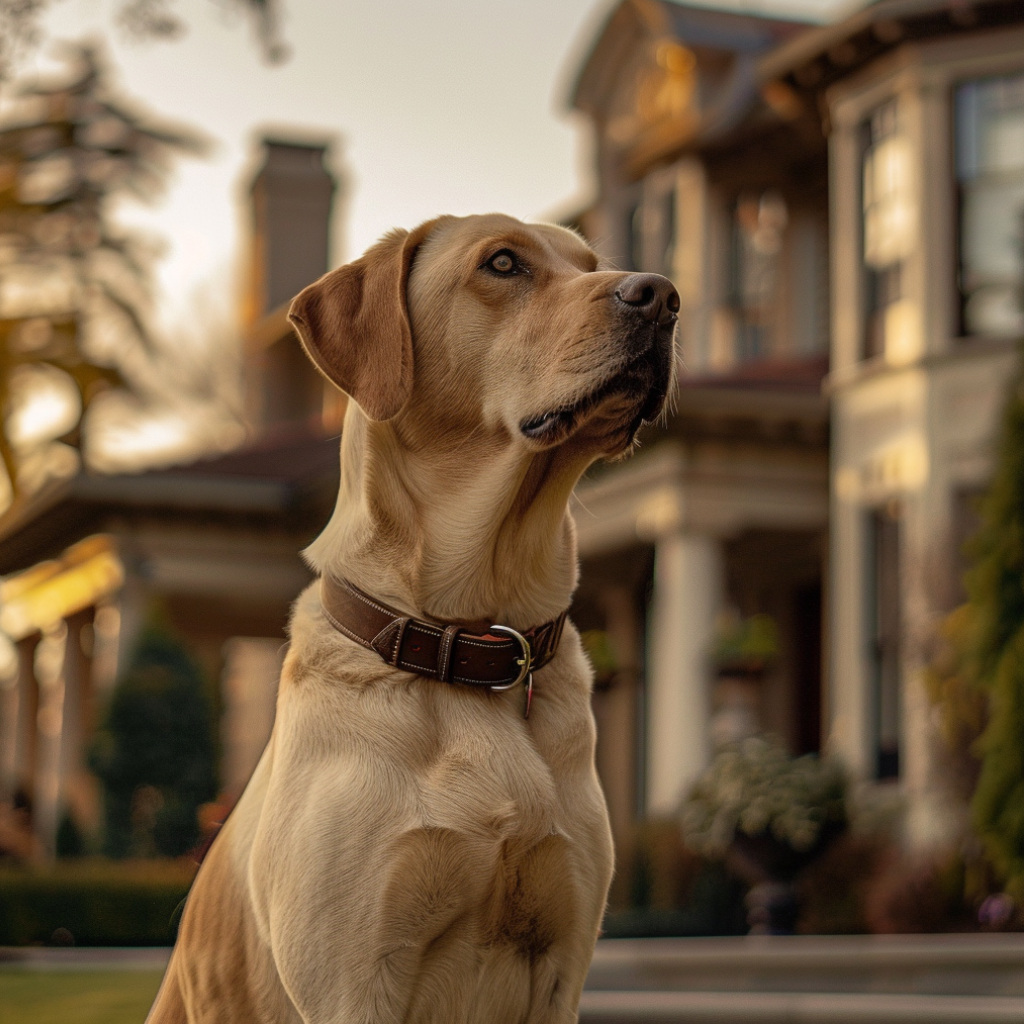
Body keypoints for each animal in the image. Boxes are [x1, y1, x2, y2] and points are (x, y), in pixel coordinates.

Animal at [148, 211, 675, 1019]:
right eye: (503, 264)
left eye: (593, 264)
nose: (665, 296)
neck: (474, 643)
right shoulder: (353, 980)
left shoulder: (563, 964)